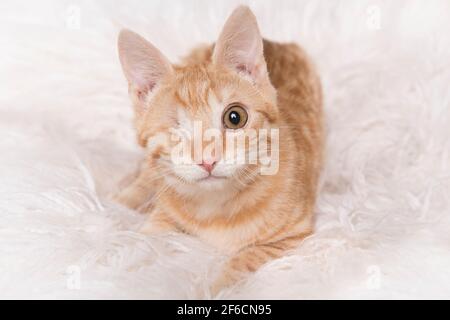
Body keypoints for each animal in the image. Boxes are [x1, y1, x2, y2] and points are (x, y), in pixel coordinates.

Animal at [114, 5, 322, 296]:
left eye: (235, 117)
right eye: (176, 130)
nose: (207, 160)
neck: (216, 208)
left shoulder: (295, 235)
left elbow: (247, 258)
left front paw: (214, 288)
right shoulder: (165, 214)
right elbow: (147, 237)